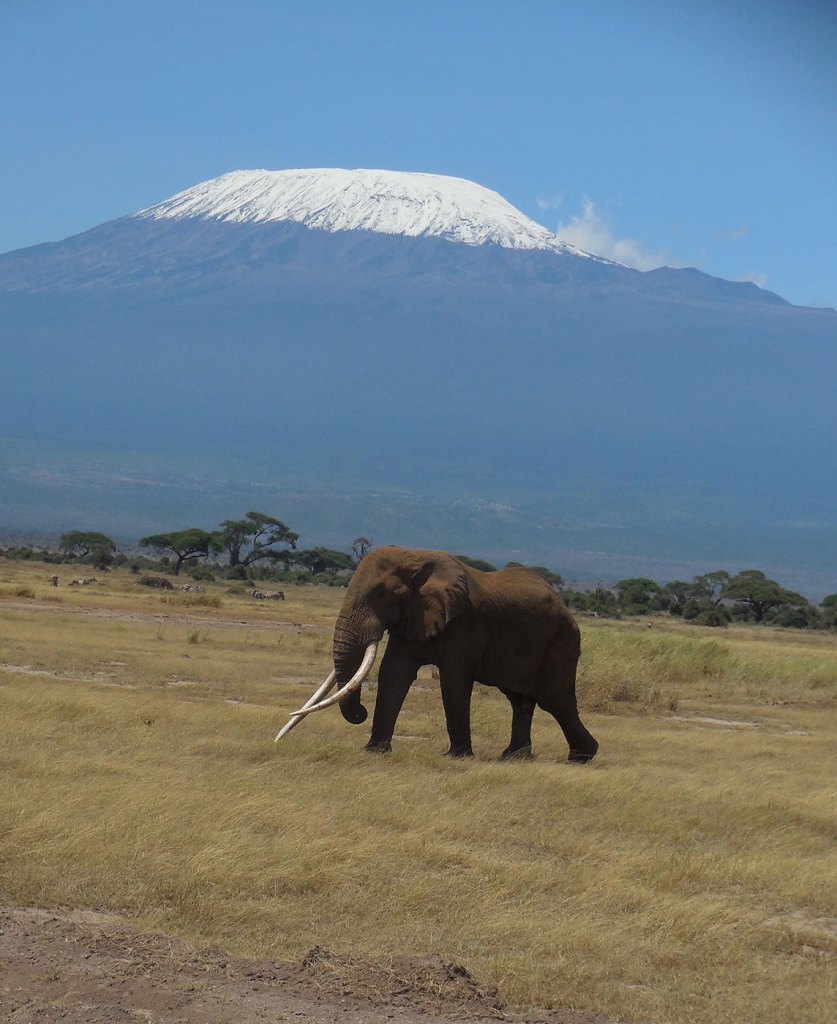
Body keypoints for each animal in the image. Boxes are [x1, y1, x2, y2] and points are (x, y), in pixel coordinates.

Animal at [276, 544, 598, 761]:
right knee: (520, 700)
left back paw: (582, 756)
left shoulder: (465, 622)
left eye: (382, 595)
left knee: (556, 700)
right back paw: (514, 757)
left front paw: (458, 756)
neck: (414, 557)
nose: (361, 712)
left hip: (562, 642)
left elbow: (453, 681)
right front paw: (374, 751)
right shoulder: (412, 618)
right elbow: (393, 673)